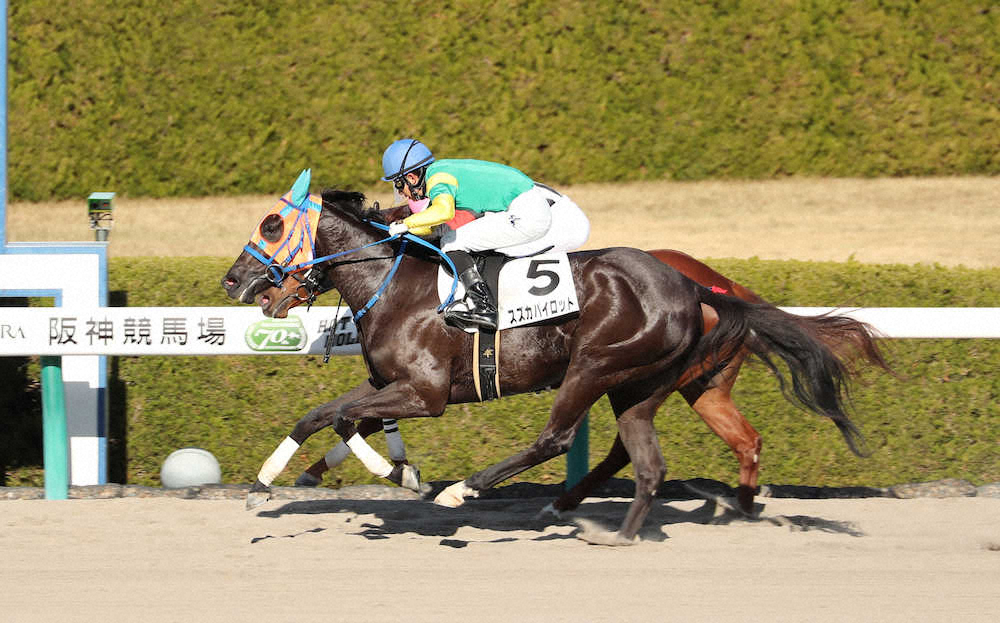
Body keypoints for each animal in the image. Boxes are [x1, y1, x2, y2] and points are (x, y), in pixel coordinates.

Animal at [222, 183, 886, 545]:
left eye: (272, 224)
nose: (233, 280)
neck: (399, 285)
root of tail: (700, 287)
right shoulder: (391, 383)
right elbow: (329, 416)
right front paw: (284, 481)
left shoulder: (425, 393)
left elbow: (334, 417)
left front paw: (397, 476)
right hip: (650, 383)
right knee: (652, 454)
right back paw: (630, 525)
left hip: (594, 366)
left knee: (558, 438)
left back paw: (468, 490)